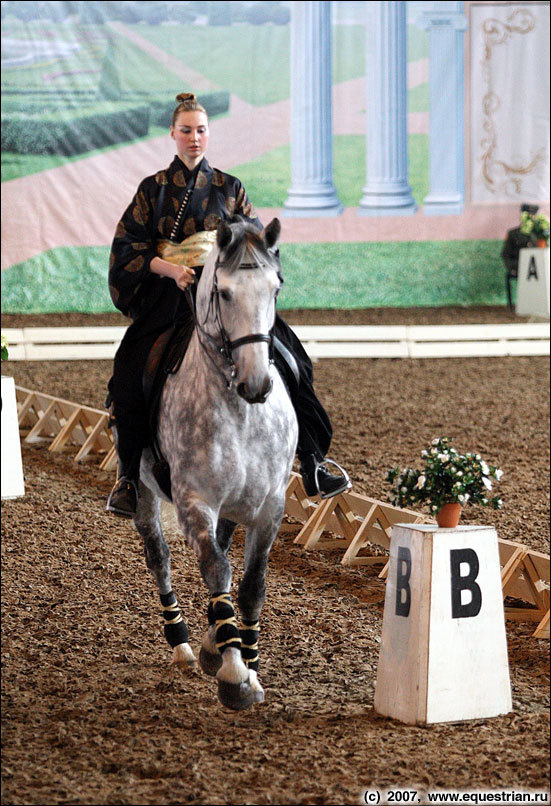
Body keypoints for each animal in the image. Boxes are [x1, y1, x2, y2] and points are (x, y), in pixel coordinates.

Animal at [128, 218, 298, 712]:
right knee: (159, 558)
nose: (257, 384)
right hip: (143, 494)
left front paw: (247, 664)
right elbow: (217, 570)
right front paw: (233, 673)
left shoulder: (268, 506)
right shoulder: (195, 502)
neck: (240, 411)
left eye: (276, 287)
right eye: (222, 292)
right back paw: (184, 644)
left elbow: (252, 584)